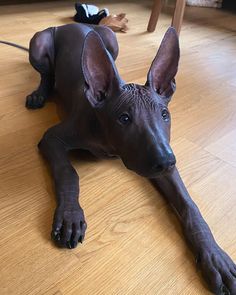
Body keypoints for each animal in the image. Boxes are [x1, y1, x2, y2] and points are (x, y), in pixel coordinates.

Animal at [2, 23, 235, 295]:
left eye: (165, 115)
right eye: (124, 119)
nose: (167, 161)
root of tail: (70, 24)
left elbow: (189, 205)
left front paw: (215, 257)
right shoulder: (52, 138)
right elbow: (68, 172)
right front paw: (70, 215)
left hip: (111, 39)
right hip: (40, 44)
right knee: (46, 75)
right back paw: (40, 94)